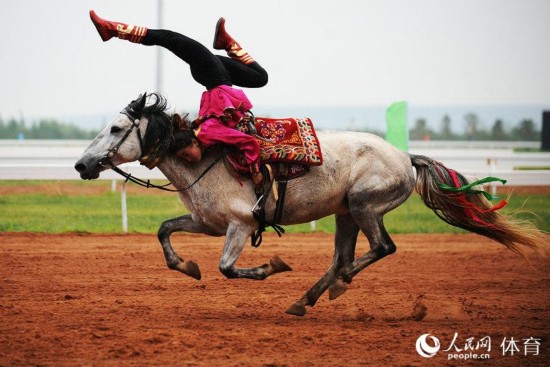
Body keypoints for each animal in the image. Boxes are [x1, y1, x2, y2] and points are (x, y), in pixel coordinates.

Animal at [74, 93, 548, 318]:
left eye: (115, 127)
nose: (81, 164)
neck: (204, 155)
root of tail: (406, 157)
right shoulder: (205, 221)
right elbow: (164, 230)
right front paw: (186, 265)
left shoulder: (241, 225)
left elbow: (227, 268)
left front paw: (271, 267)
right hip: (345, 214)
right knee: (342, 256)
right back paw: (306, 299)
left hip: (363, 205)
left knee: (379, 249)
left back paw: (336, 285)